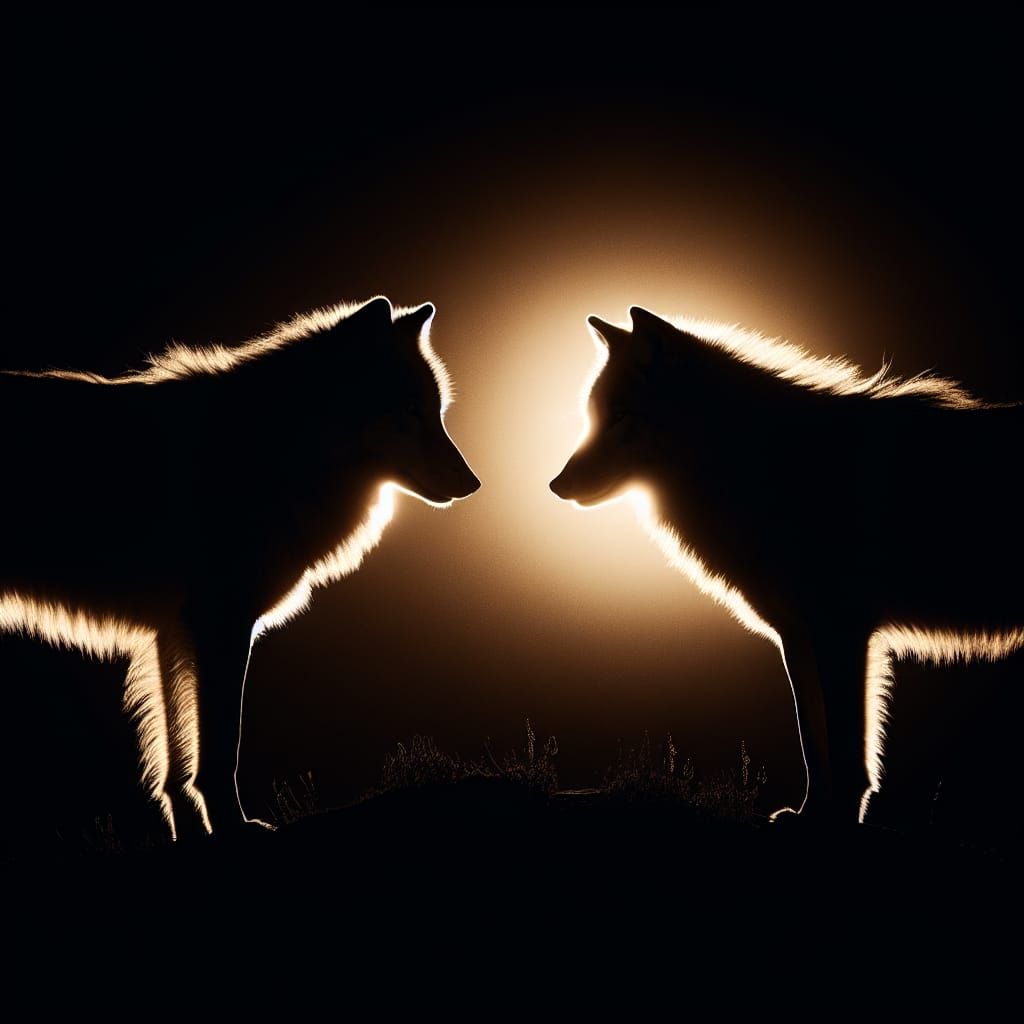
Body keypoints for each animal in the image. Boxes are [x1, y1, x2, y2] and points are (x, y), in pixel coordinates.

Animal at [0, 296, 479, 836]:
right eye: (411, 412)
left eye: (437, 412)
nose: (474, 482)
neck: (277, 450)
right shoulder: (221, 623)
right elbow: (220, 747)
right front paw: (232, 825)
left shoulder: (173, 633)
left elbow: (176, 757)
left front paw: (191, 835)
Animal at [551, 306, 1023, 824]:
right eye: (592, 417)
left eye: (619, 416)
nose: (556, 484)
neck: (763, 468)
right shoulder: (797, 637)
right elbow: (813, 744)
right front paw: (810, 813)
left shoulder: (842, 631)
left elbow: (845, 746)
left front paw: (838, 820)